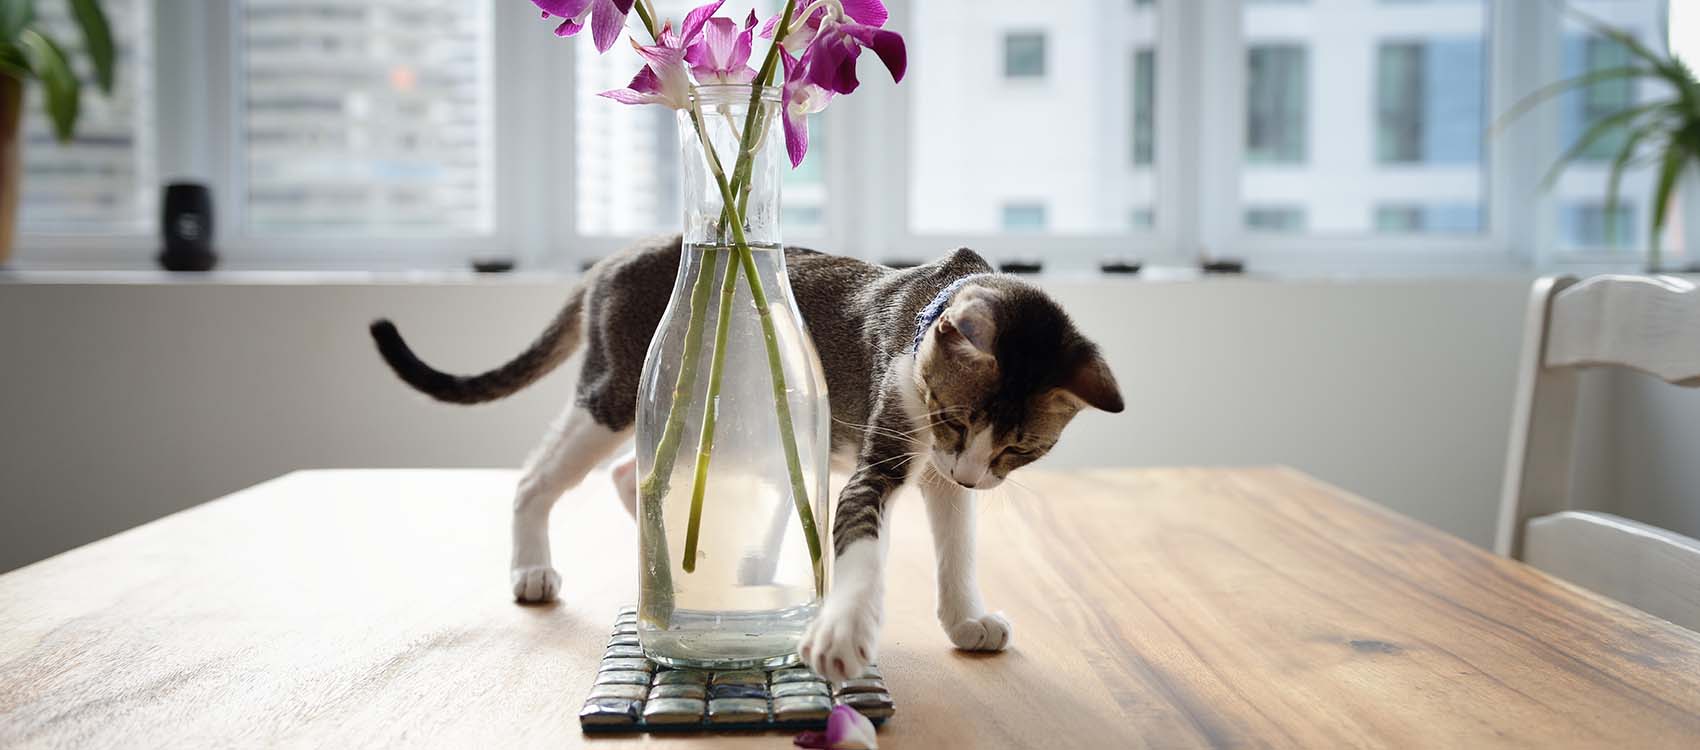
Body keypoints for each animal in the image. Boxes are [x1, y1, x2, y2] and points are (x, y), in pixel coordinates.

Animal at [365, 236, 1122, 680]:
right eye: (955, 419)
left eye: (1020, 449)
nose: (969, 470)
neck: (926, 306)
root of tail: (616, 258)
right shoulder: (889, 448)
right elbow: (863, 546)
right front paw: (844, 630)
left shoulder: (941, 472)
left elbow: (957, 548)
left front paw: (966, 618)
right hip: (620, 393)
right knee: (537, 478)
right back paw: (532, 568)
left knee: (630, 477)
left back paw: (671, 556)